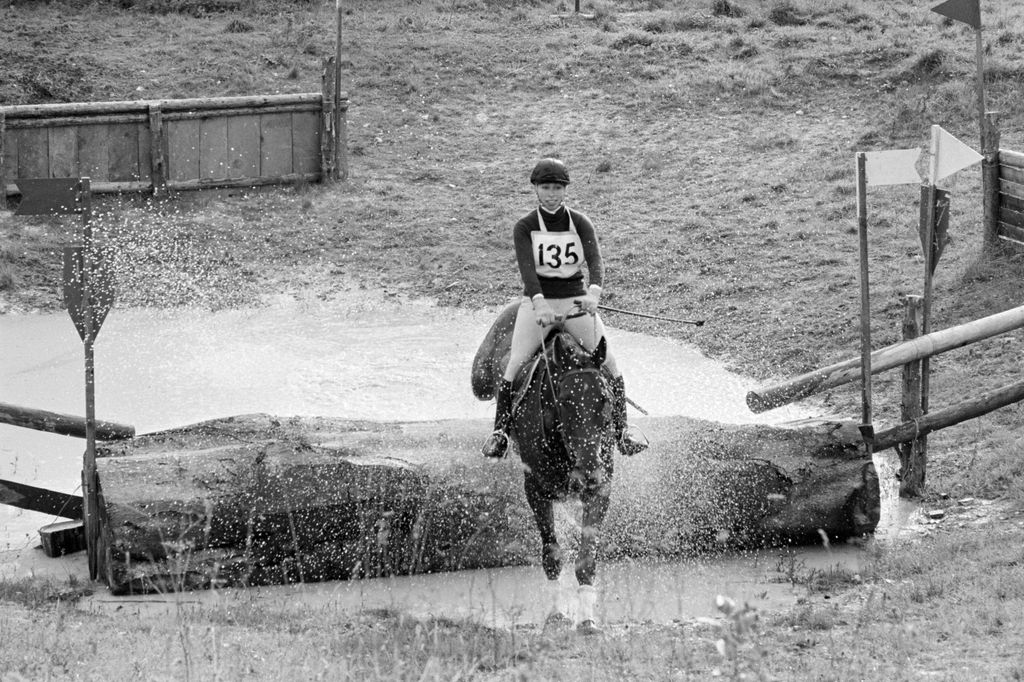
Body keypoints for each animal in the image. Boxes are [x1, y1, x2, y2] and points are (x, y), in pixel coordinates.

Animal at [473, 303, 614, 630]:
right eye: (564, 400)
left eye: (606, 398)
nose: (588, 473)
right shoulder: (536, 489)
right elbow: (552, 554)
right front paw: (556, 614)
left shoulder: (601, 488)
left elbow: (586, 557)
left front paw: (586, 618)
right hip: (481, 377)